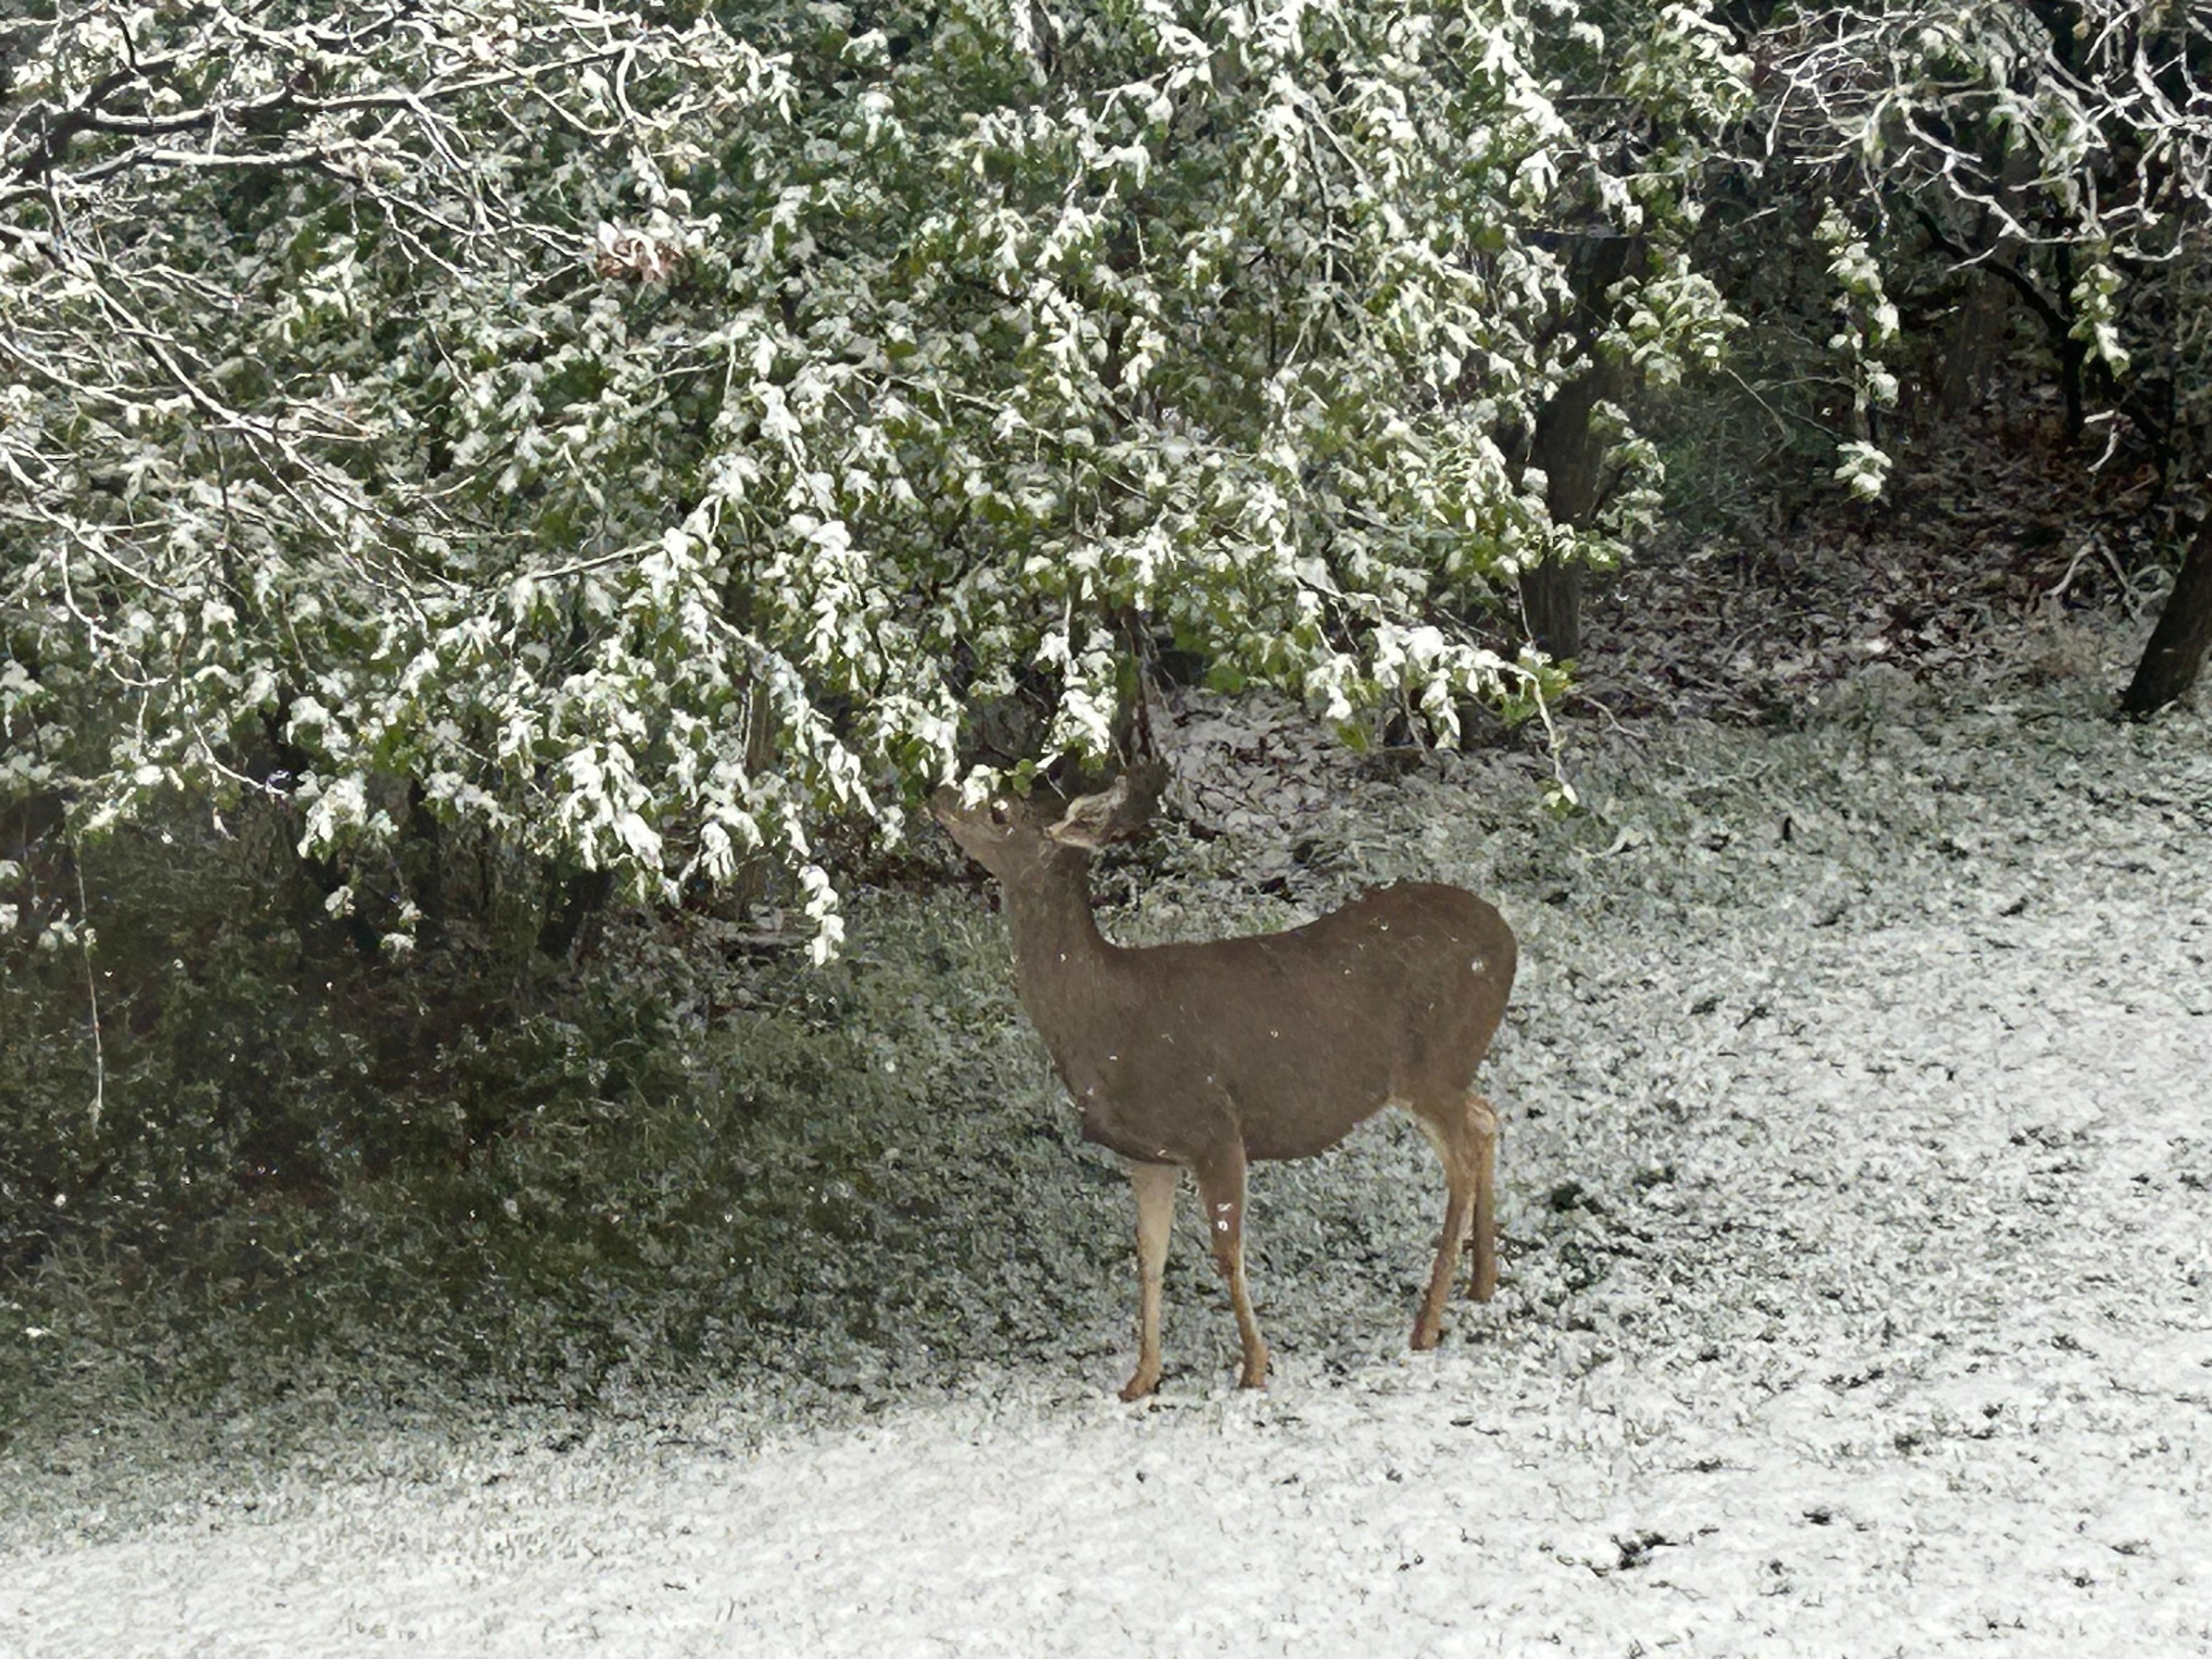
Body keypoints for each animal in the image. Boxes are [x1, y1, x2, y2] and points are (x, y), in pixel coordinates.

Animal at [931, 759, 1516, 1400]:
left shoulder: (1214, 1124)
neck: (1106, 1022)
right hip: (1443, 1072)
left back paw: (1428, 1323)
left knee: (1463, 1156)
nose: (935, 794)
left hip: (1433, 1064)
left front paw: (1255, 1366)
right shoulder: (1150, 1153)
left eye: (1000, 811)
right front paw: (1142, 1378)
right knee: (1486, 1118)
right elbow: (1150, 1257)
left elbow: (1227, 1250)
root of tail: (1507, 937)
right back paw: (1482, 1284)